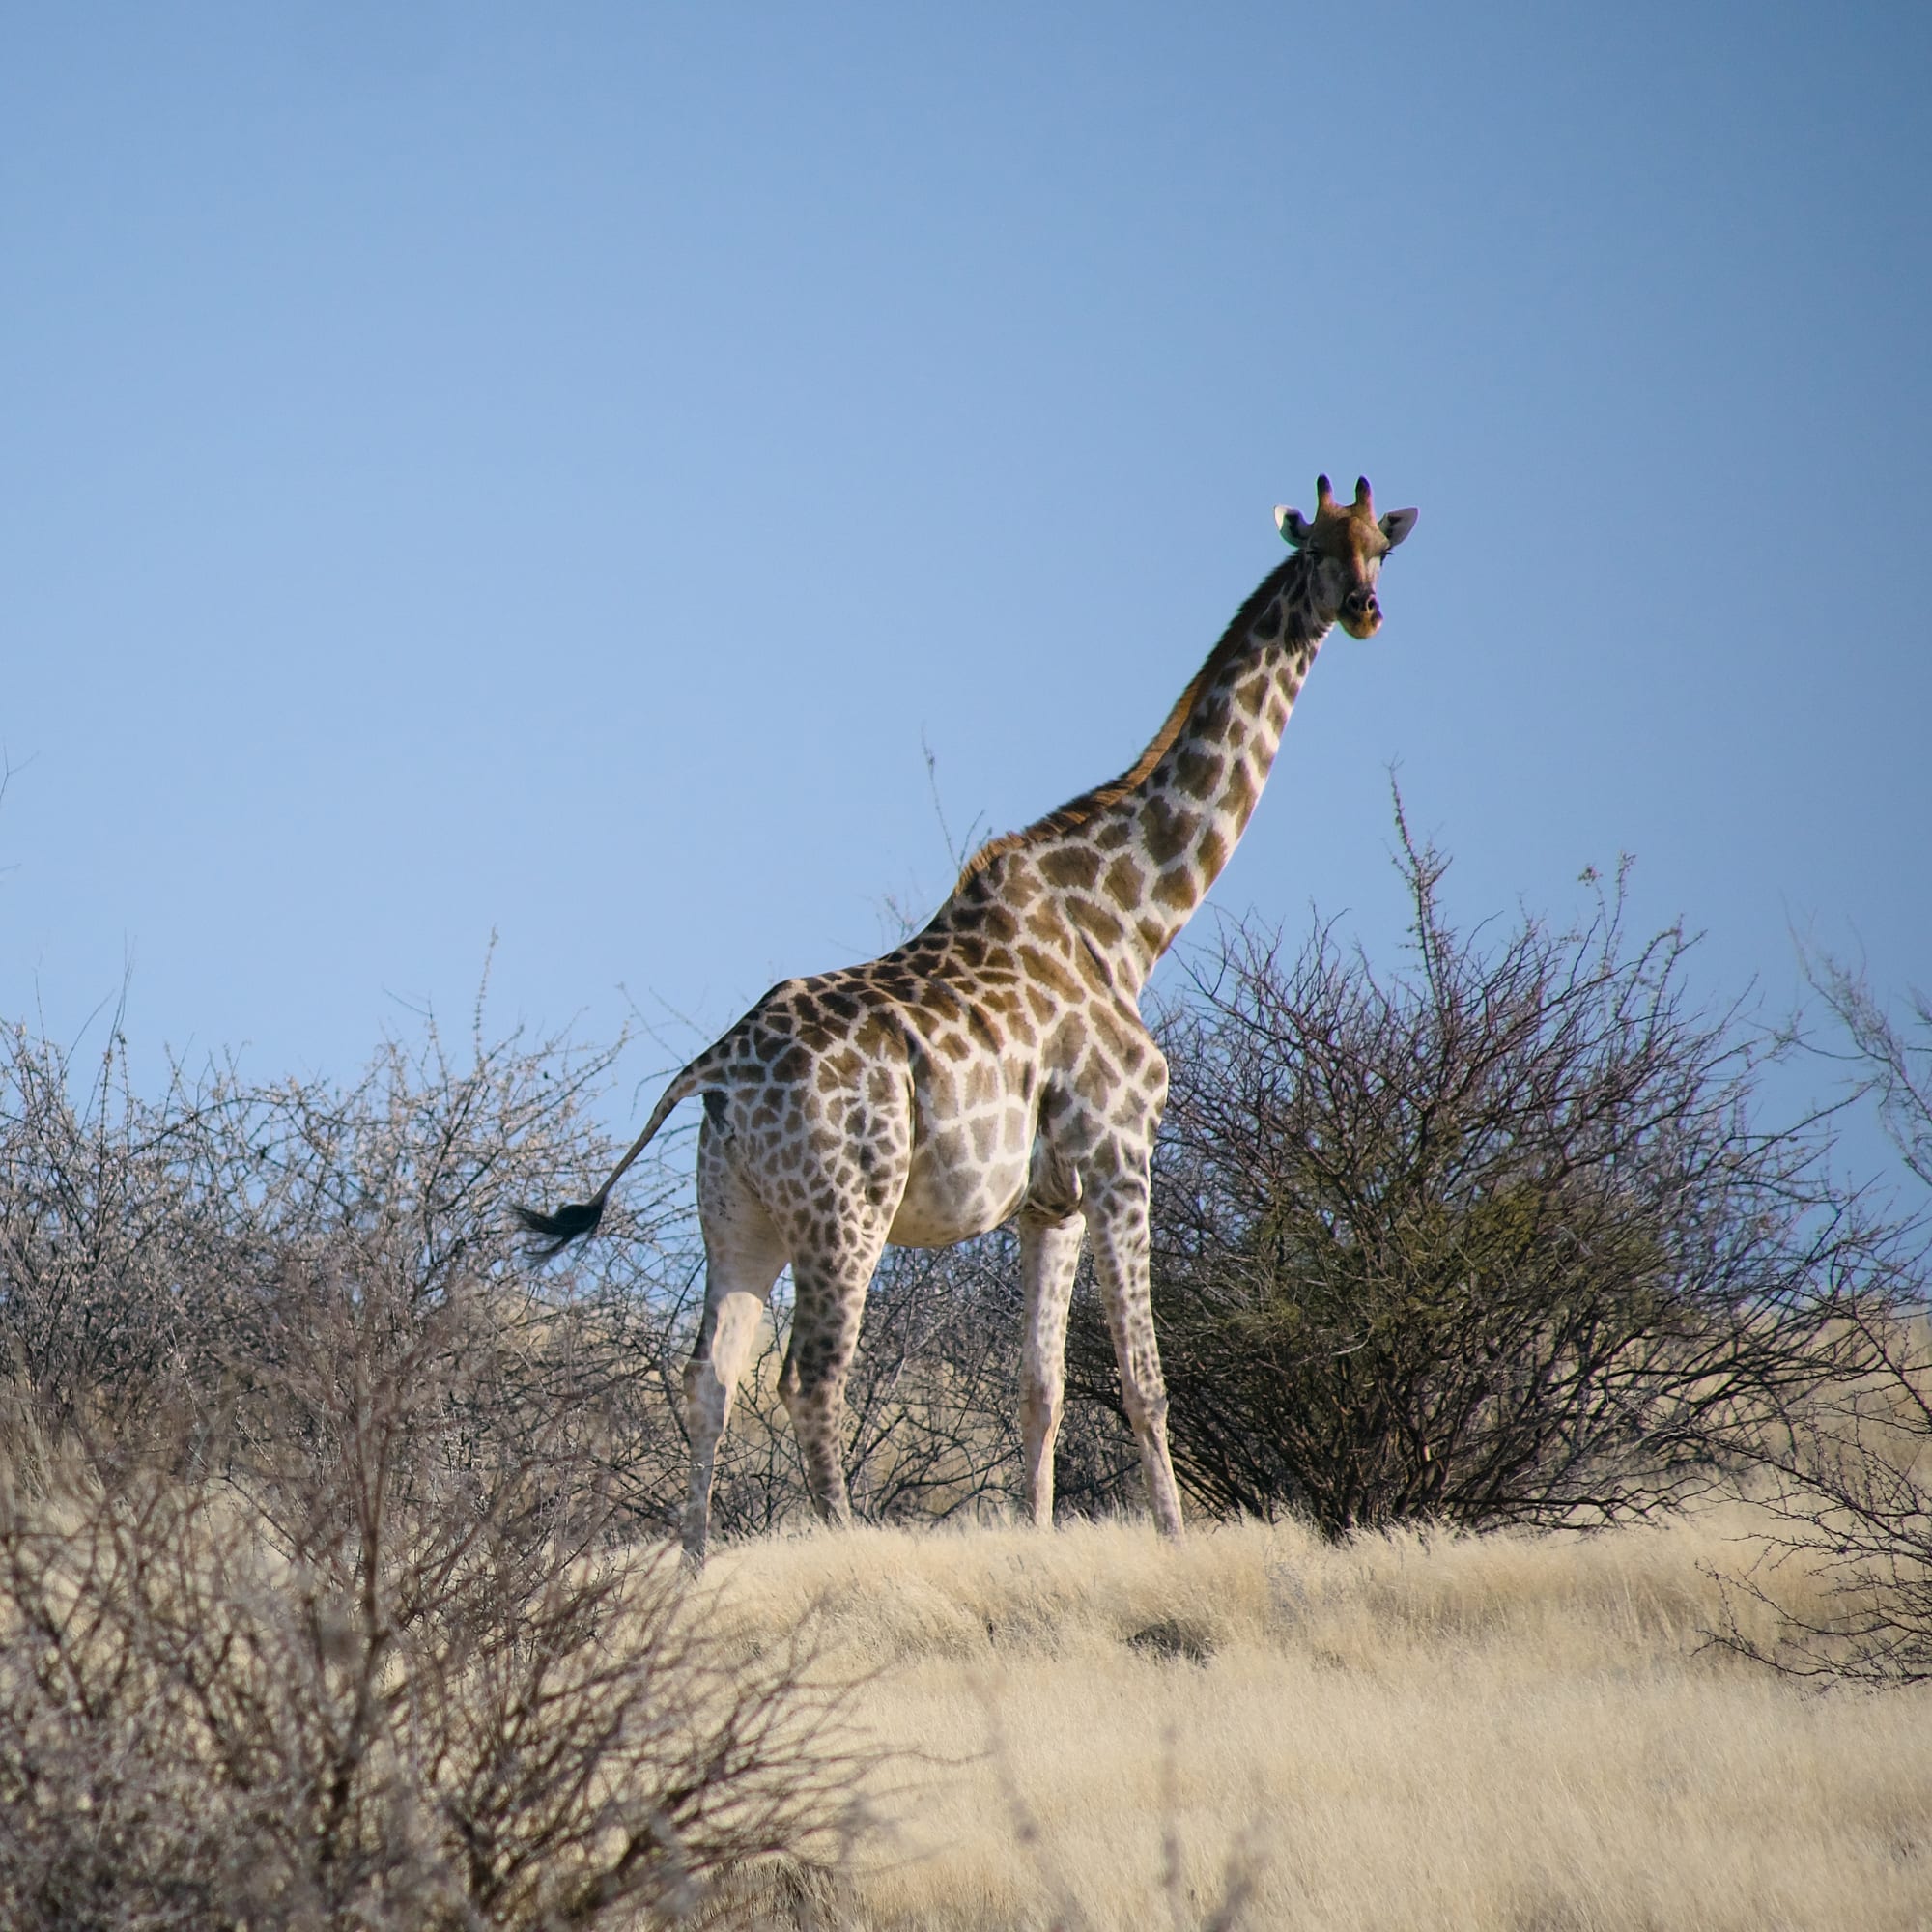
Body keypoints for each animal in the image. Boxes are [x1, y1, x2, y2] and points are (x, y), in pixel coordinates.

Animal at [518, 475, 1418, 1562]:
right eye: (1318, 550)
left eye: (1381, 546)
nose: (1367, 610)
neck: (1129, 921)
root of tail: (713, 1070)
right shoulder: (1120, 1148)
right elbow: (1143, 1381)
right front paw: (1172, 1542)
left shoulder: (1046, 1199)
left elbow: (1040, 1388)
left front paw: (1036, 1541)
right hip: (846, 1209)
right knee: (810, 1377)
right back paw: (843, 1549)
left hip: (737, 1215)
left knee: (710, 1377)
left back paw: (693, 1567)